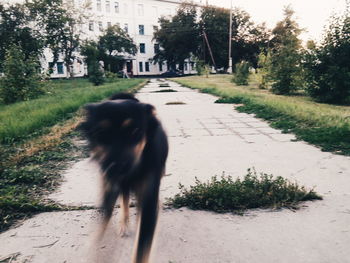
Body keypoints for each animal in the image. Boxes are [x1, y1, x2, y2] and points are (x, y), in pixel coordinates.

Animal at [80, 93, 167, 263]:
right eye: (100, 133)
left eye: (135, 131)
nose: (116, 169)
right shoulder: (109, 187)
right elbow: (101, 224)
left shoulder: (149, 199)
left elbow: (141, 250)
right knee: (124, 199)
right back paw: (123, 223)